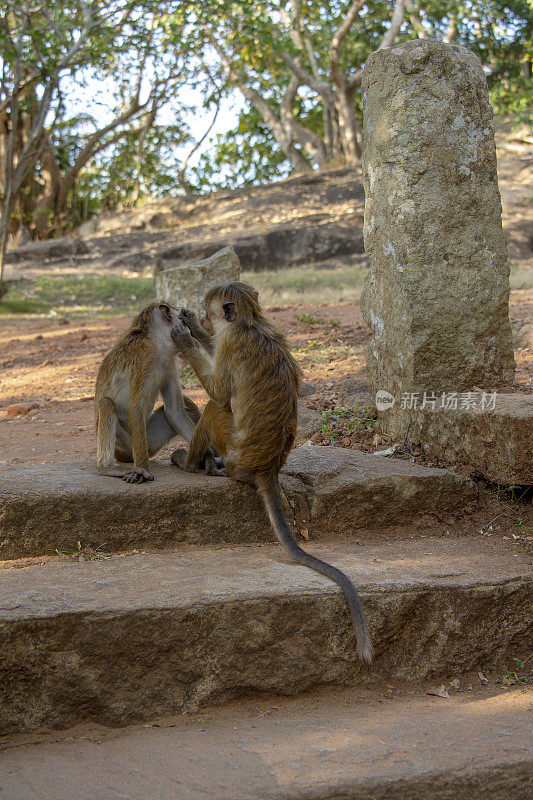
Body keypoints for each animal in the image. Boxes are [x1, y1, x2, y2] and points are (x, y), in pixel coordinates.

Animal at [92, 304, 201, 482]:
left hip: (150, 439)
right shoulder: (144, 356)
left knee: (187, 404)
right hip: (127, 446)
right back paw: (108, 468)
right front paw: (143, 468)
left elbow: (175, 410)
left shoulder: (169, 364)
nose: (191, 332)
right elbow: (135, 407)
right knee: (106, 403)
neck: (158, 344)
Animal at [172, 282, 372, 664]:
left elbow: (218, 391)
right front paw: (191, 326)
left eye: (211, 309)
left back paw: (189, 463)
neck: (250, 324)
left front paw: (185, 338)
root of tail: (266, 468)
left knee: (215, 406)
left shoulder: (233, 344)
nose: (200, 317)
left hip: (233, 450)